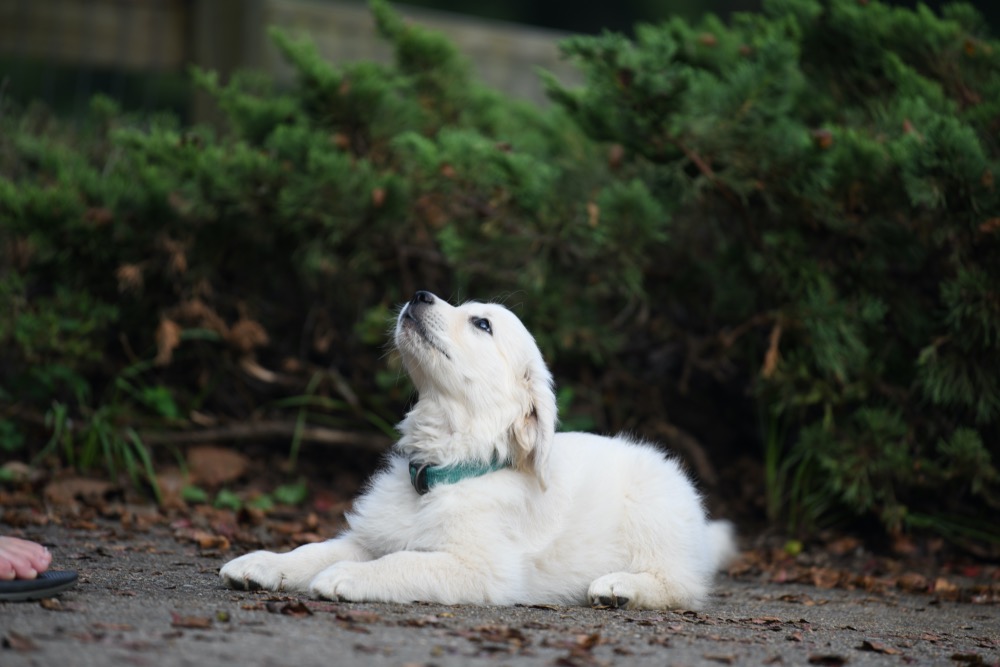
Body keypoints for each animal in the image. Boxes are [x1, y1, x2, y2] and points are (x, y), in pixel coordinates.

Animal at [219, 292, 736, 612]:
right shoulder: (373, 536)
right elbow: (315, 548)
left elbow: (407, 562)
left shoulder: (481, 568)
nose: (419, 294)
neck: (446, 468)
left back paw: (620, 586)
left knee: (681, 586)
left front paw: (346, 576)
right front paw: (263, 562)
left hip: (654, 512)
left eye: (482, 323)